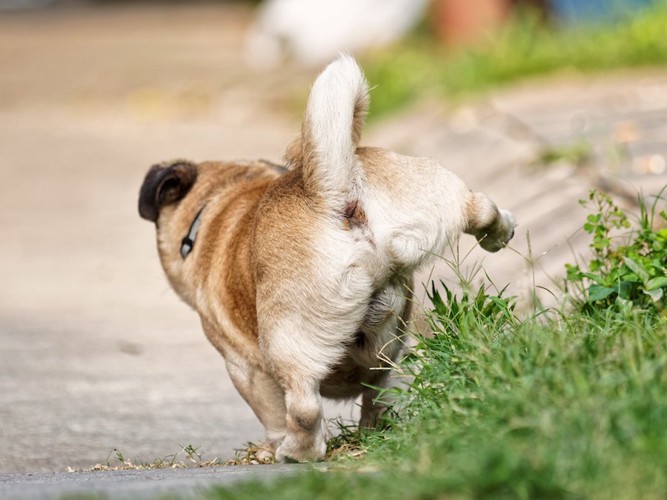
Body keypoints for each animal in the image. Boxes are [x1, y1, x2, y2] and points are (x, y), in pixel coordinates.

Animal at [138, 56, 516, 462]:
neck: (221, 199)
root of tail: (336, 194)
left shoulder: (244, 368)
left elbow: (273, 412)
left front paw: (271, 447)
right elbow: (379, 400)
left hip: (288, 338)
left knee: (304, 406)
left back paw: (297, 452)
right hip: (433, 195)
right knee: (479, 207)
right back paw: (499, 232)